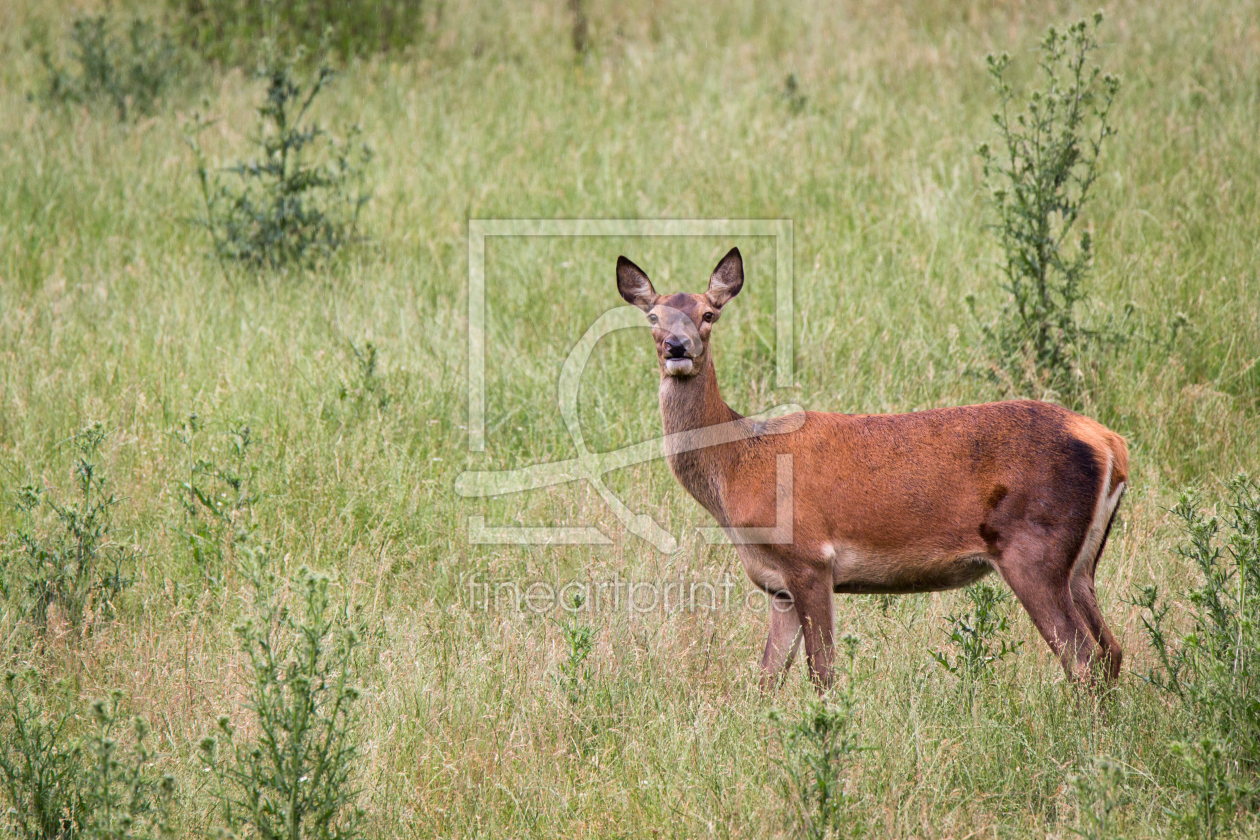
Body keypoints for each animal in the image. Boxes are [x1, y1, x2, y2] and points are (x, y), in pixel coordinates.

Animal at [614, 248, 1128, 690]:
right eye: (653, 317)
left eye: (708, 314)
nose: (677, 346)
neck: (739, 463)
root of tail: (1110, 443)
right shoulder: (777, 586)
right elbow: (766, 678)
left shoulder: (810, 558)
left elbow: (822, 674)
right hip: (1081, 563)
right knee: (1112, 652)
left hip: (1034, 547)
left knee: (1083, 659)